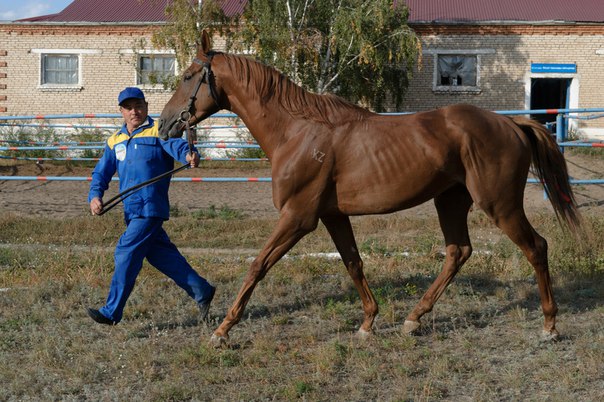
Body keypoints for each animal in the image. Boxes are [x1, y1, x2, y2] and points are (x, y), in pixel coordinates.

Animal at [159, 32, 580, 346]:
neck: (297, 132)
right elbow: (353, 263)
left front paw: (222, 330)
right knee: (458, 252)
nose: (164, 124)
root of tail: (511, 124)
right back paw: (414, 319)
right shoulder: (331, 216)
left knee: (536, 247)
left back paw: (549, 325)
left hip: (500, 204)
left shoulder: (297, 217)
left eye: (188, 76)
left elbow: (258, 265)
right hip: (450, 200)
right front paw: (367, 323)